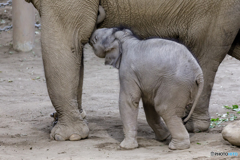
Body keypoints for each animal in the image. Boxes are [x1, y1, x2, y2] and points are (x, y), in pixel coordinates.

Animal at [25, 0, 239, 141]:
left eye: (97, 40)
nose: (100, 11)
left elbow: (65, 38)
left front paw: (68, 136)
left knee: (206, 50)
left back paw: (191, 125)